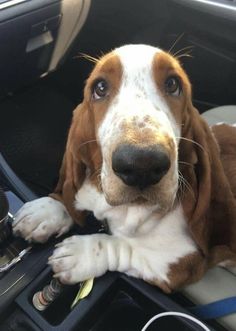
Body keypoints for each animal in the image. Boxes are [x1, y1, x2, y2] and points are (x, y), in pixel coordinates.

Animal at [12, 44, 236, 294]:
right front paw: (46, 212)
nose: (142, 163)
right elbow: (75, 196)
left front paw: (81, 255)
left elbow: (125, 247)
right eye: (100, 88)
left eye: (173, 84)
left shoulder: (179, 263)